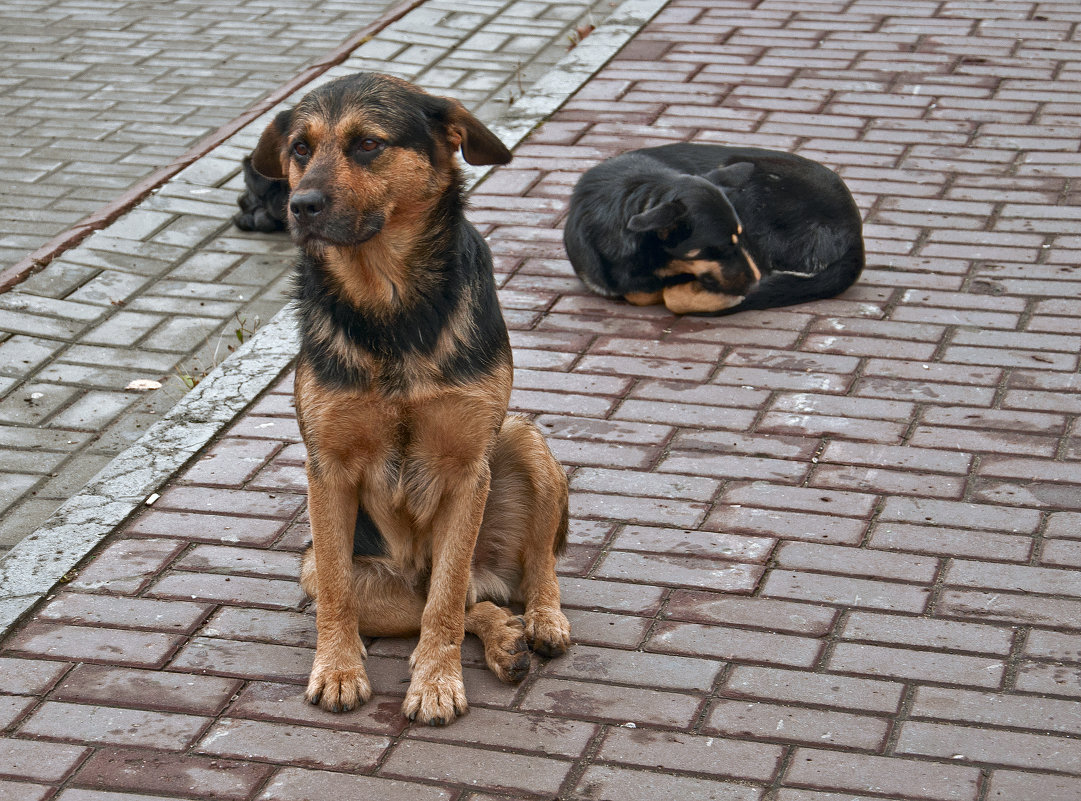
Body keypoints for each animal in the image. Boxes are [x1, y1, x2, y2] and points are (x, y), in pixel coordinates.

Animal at [250, 73, 575, 726]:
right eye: (300, 148)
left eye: (368, 144)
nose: (301, 206)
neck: (391, 306)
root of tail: (489, 575)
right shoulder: (327, 470)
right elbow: (343, 597)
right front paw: (338, 669)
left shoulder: (468, 470)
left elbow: (445, 603)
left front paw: (436, 683)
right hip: (323, 570)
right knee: (458, 603)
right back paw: (503, 638)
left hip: (522, 440)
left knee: (519, 571)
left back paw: (541, 620)